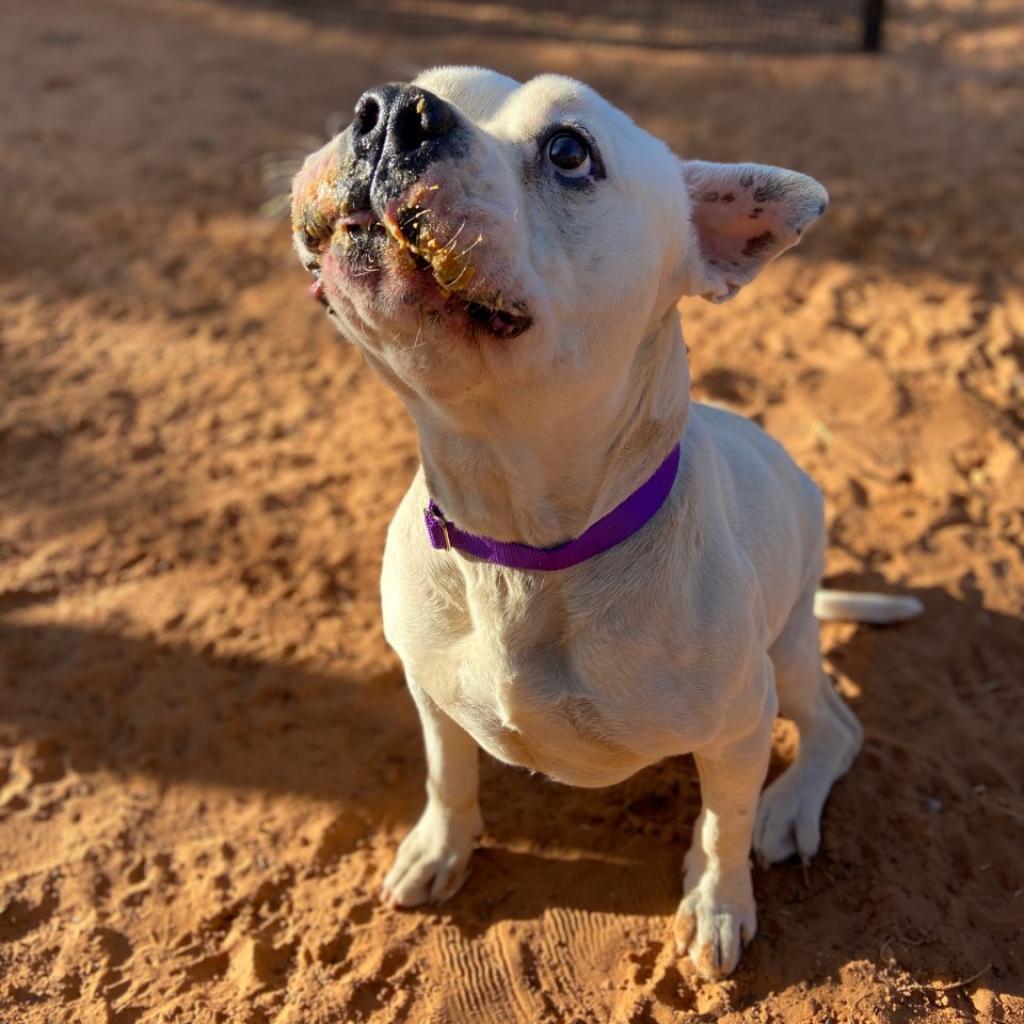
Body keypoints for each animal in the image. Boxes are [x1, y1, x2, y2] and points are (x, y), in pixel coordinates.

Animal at [292, 68, 925, 978]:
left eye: (569, 151)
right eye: (416, 90)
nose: (389, 113)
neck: (519, 545)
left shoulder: (739, 728)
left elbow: (724, 823)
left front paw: (718, 903)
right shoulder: (428, 688)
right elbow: (448, 775)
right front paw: (440, 849)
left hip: (790, 651)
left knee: (834, 731)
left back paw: (786, 808)